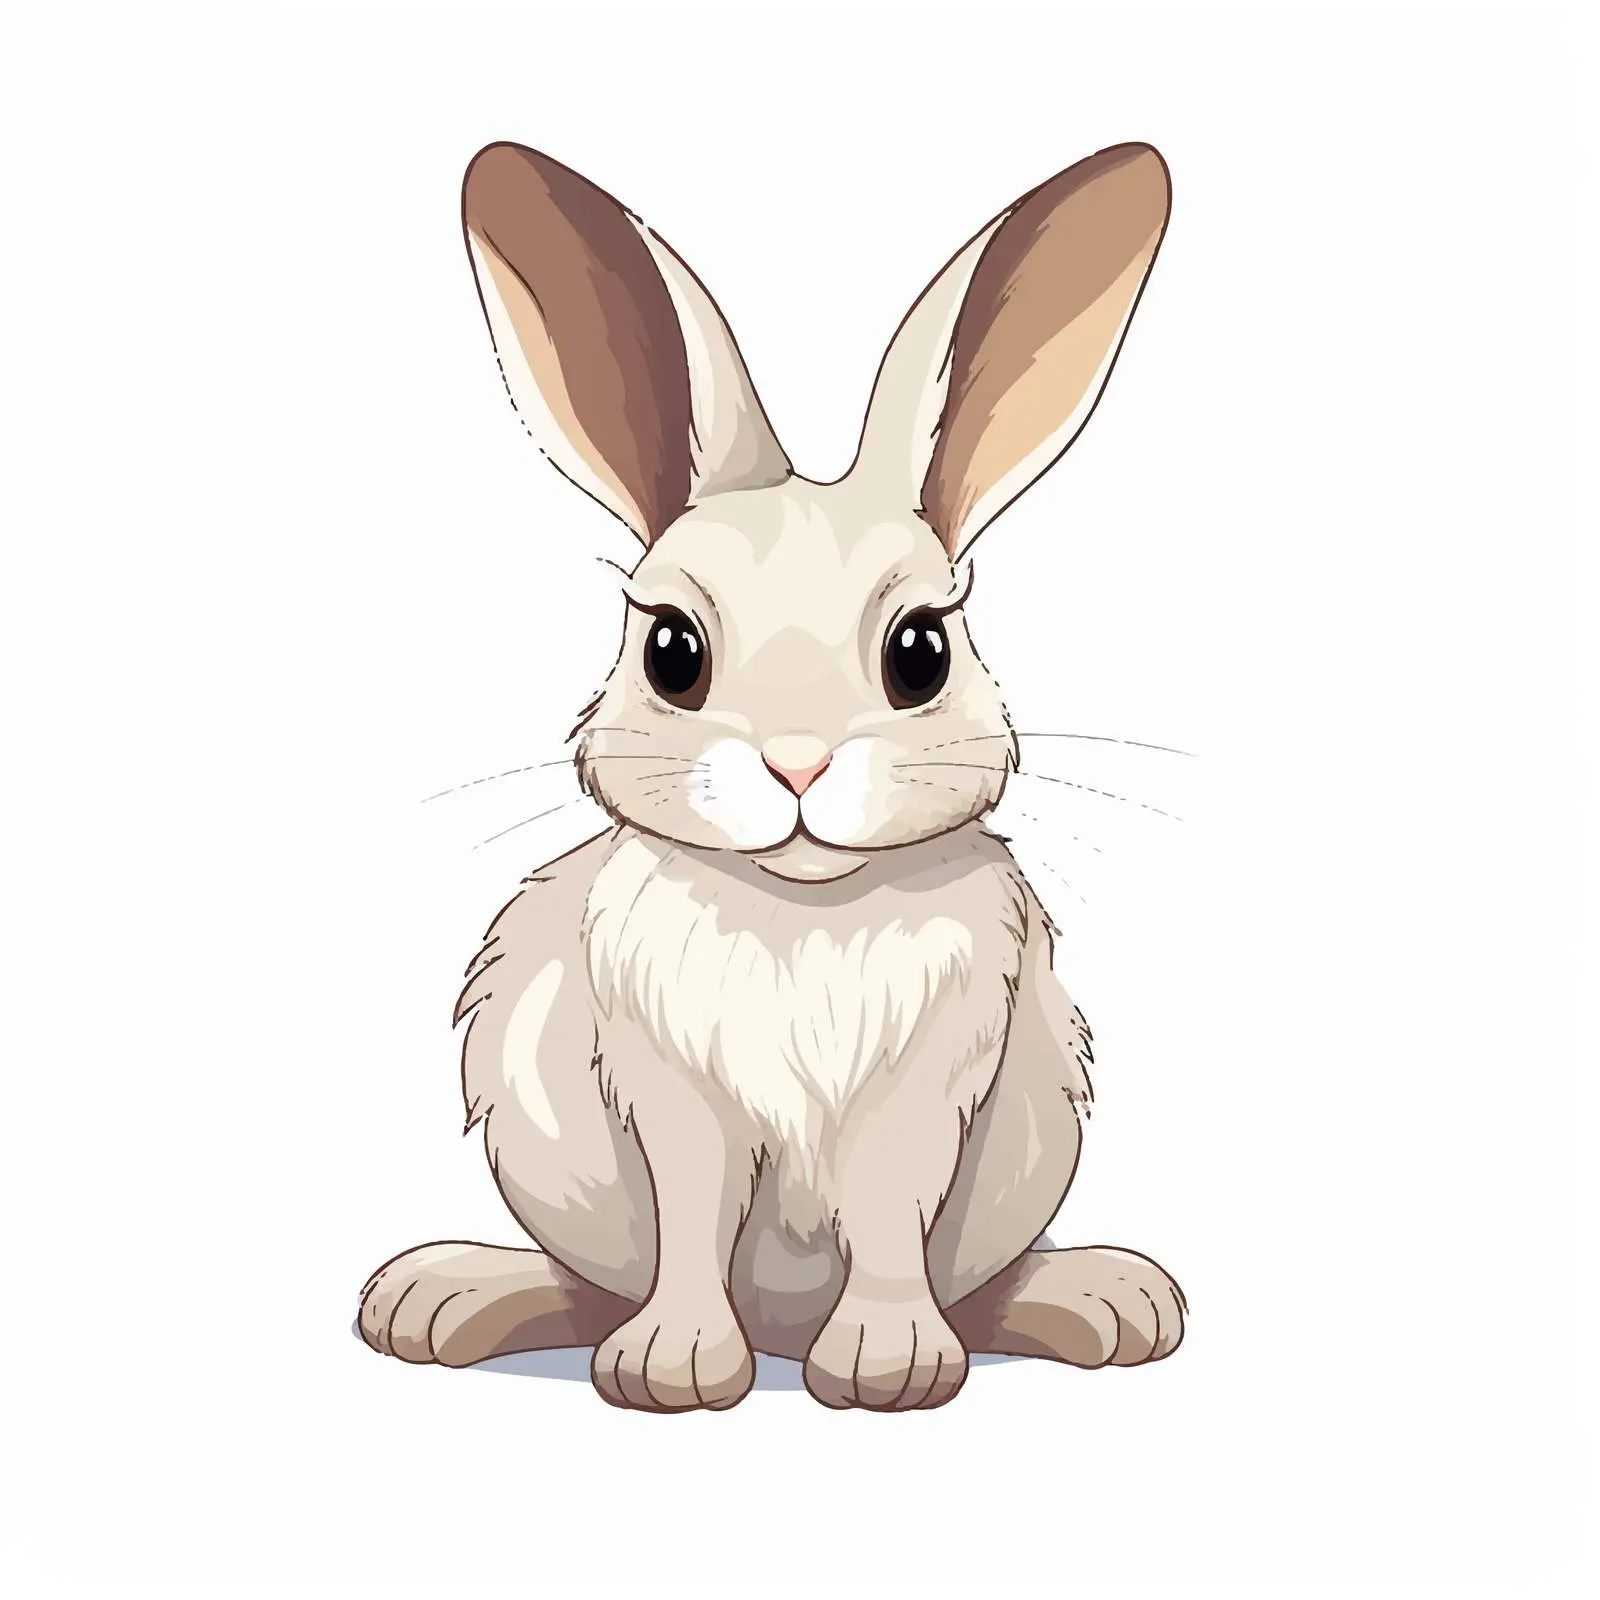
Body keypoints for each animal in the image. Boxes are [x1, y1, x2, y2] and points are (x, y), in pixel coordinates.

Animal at [358, 138, 1186, 1411]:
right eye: (672, 651)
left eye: (919, 651)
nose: (797, 763)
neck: (803, 913)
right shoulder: (672, 1098)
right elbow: (695, 1217)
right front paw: (672, 1368)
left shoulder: (925, 1095)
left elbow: (888, 1218)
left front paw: (890, 1366)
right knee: (587, 1282)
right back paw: (440, 1294)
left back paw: (1108, 1297)